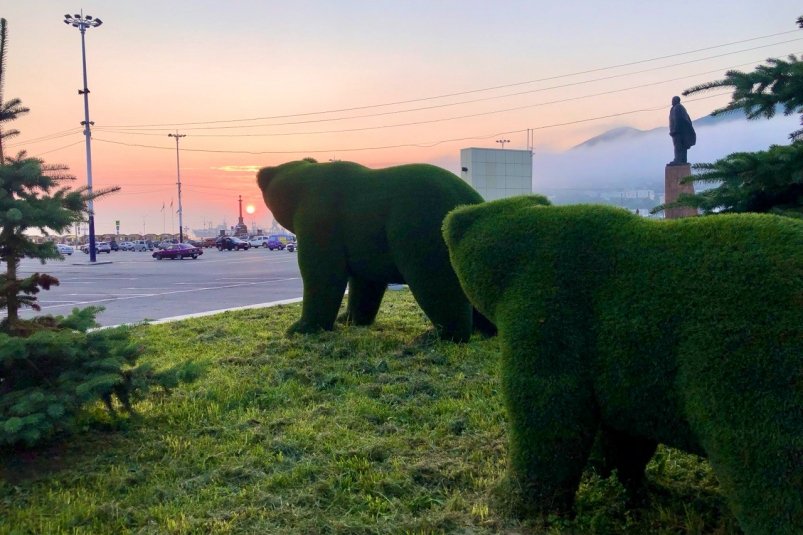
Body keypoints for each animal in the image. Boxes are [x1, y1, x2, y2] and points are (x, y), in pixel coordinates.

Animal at [258, 159, 494, 344]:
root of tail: (471, 203)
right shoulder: (364, 243)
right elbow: (365, 282)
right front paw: (349, 318)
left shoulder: (320, 219)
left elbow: (322, 273)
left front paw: (302, 327)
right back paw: (488, 329)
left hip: (421, 230)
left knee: (436, 283)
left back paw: (438, 335)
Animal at [442, 197, 800, 535]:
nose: (450, 222)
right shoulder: (629, 369)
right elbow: (624, 435)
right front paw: (620, 481)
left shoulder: (547, 310)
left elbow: (548, 416)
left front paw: (514, 501)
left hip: (747, 367)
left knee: (765, 474)